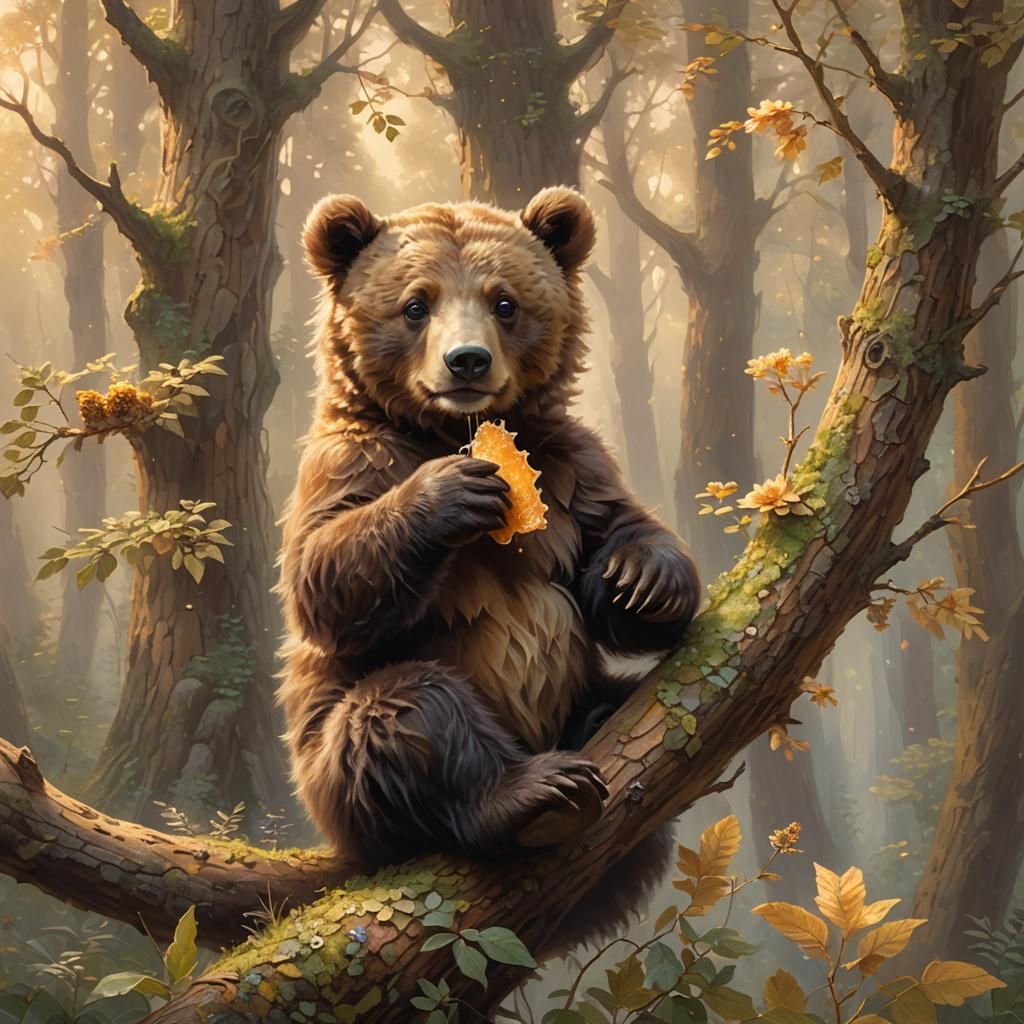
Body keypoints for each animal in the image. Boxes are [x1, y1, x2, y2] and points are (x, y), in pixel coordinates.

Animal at [277, 186, 701, 948]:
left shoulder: (566, 465)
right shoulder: (349, 462)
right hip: (334, 775)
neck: (454, 431)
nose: (467, 362)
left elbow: (613, 529)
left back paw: (599, 721)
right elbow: (324, 577)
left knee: (616, 691)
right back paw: (538, 794)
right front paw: (451, 492)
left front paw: (645, 581)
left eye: (505, 301)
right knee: (407, 712)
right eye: (416, 304)